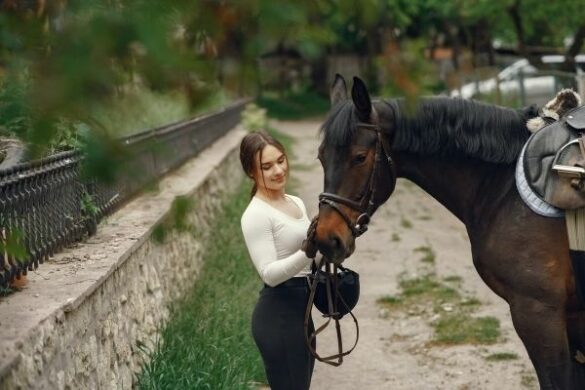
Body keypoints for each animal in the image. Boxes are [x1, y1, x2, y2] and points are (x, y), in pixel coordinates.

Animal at [312, 74, 584, 388]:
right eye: (321, 157)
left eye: (359, 157)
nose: (326, 238)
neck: (505, 187)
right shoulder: (569, 316)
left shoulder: (539, 313)